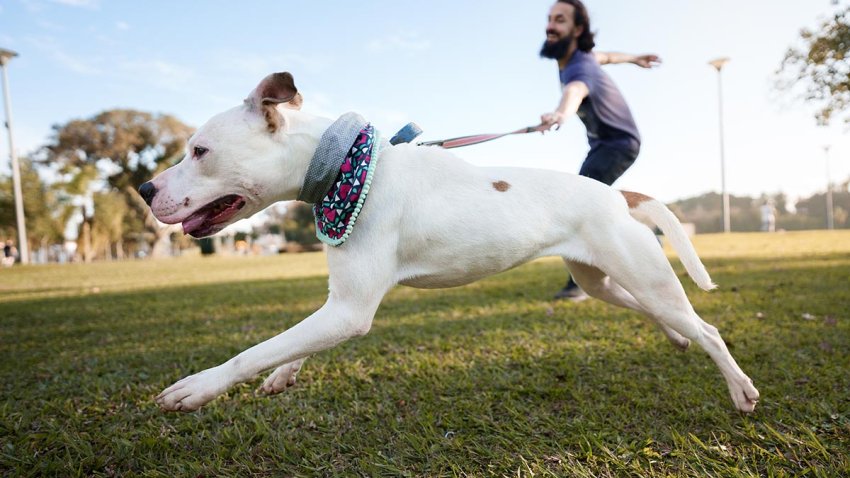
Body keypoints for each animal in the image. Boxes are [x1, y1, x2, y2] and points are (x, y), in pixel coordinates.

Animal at [139, 73, 756, 412]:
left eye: (199, 151)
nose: (144, 188)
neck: (346, 168)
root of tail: (617, 195)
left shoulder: (349, 310)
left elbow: (255, 348)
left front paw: (198, 387)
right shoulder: (340, 305)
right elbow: (291, 343)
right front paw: (283, 375)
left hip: (643, 275)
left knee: (707, 328)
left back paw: (740, 389)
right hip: (603, 280)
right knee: (657, 313)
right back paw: (675, 339)